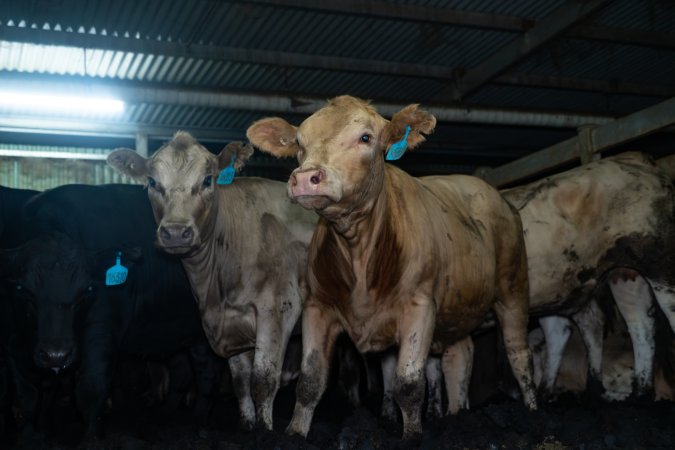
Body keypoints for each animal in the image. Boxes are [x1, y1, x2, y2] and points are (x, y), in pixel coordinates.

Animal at [1, 185, 219, 442]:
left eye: (87, 290)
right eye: (21, 289)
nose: (56, 355)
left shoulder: (101, 329)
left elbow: (90, 390)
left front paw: (91, 439)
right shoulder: (11, 339)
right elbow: (26, 396)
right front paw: (29, 436)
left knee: (206, 373)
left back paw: (198, 424)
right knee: (185, 371)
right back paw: (159, 418)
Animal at [109, 134, 320, 432]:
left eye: (208, 180)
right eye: (152, 182)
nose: (176, 232)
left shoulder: (278, 309)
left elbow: (263, 381)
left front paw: (265, 431)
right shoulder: (230, 322)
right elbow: (241, 383)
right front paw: (247, 425)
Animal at [248, 96, 540, 438]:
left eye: (365, 137)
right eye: (299, 143)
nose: (306, 178)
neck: (357, 253)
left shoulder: (420, 306)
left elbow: (409, 384)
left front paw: (412, 436)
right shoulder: (318, 306)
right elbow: (311, 381)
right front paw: (295, 433)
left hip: (513, 288)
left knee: (519, 352)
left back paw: (532, 411)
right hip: (458, 309)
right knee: (459, 358)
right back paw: (454, 416)